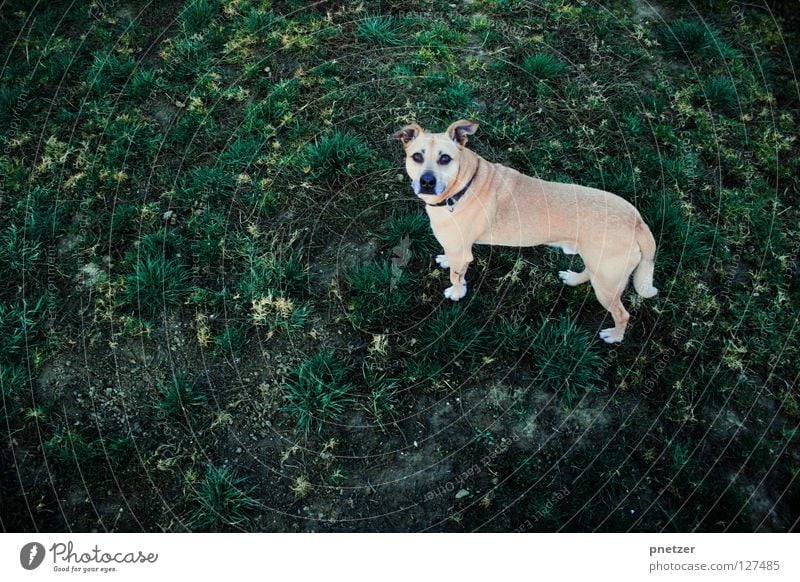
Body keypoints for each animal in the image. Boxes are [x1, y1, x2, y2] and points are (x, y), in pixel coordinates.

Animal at [390, 120, 660, 344]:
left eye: (445, 158)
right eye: (417, 156)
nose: (426, 182)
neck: (461, 187)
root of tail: (638, 221)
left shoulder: (461, 252)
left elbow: (457, 277)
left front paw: (456, 294)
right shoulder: (457, 247)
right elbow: (451, 261)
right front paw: (445, 262)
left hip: (607, 282)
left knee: (622, 314)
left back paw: (614, 336)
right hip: (599, 267)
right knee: (588, 273)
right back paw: (573, 278)